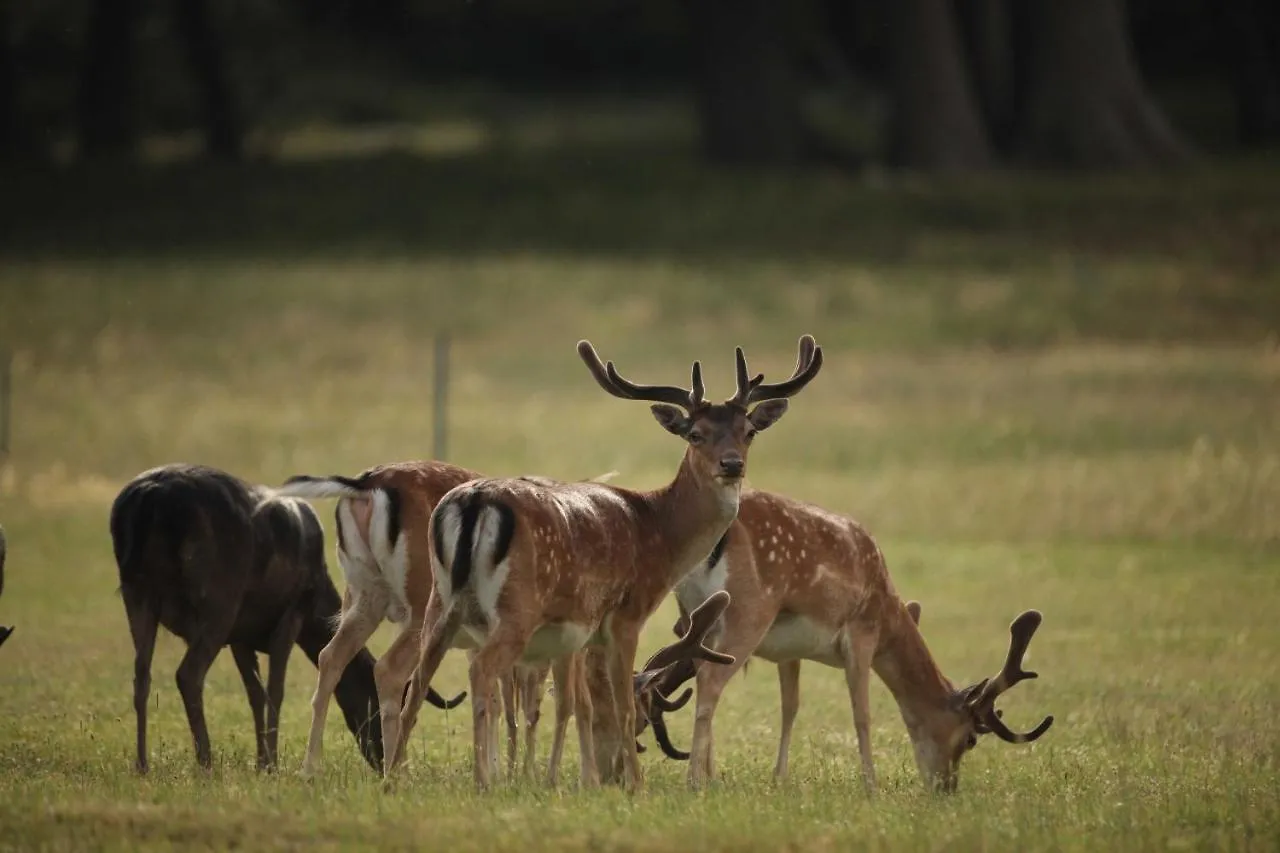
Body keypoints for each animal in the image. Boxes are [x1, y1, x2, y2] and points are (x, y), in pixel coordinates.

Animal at [389, 335, 824, 788]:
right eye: (695, 434)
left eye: (749, 431)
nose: (732, 464)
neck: (660, 533)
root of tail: (474, 501)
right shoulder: (627, 615)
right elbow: (623, 706)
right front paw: (635, 785)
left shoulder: (584, 635)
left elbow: (582, 704)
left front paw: (589, 780)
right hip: (515, 606)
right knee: (480, 670)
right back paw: (483, 782)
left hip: (441, 604)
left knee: (417, 682)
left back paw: (392, 779)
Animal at [614, 489, 1054, 794]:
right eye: (970, 738)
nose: (946, 787)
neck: (890, 613)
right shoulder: (861, 633)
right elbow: (862, 712)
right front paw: (871, 785)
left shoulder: (788, 652)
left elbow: (790, 707)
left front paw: (779, 779)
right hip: (748, 611)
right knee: (709, 681)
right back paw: (695, 780)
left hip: (694, 614)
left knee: (701, 671)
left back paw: (709, 774)